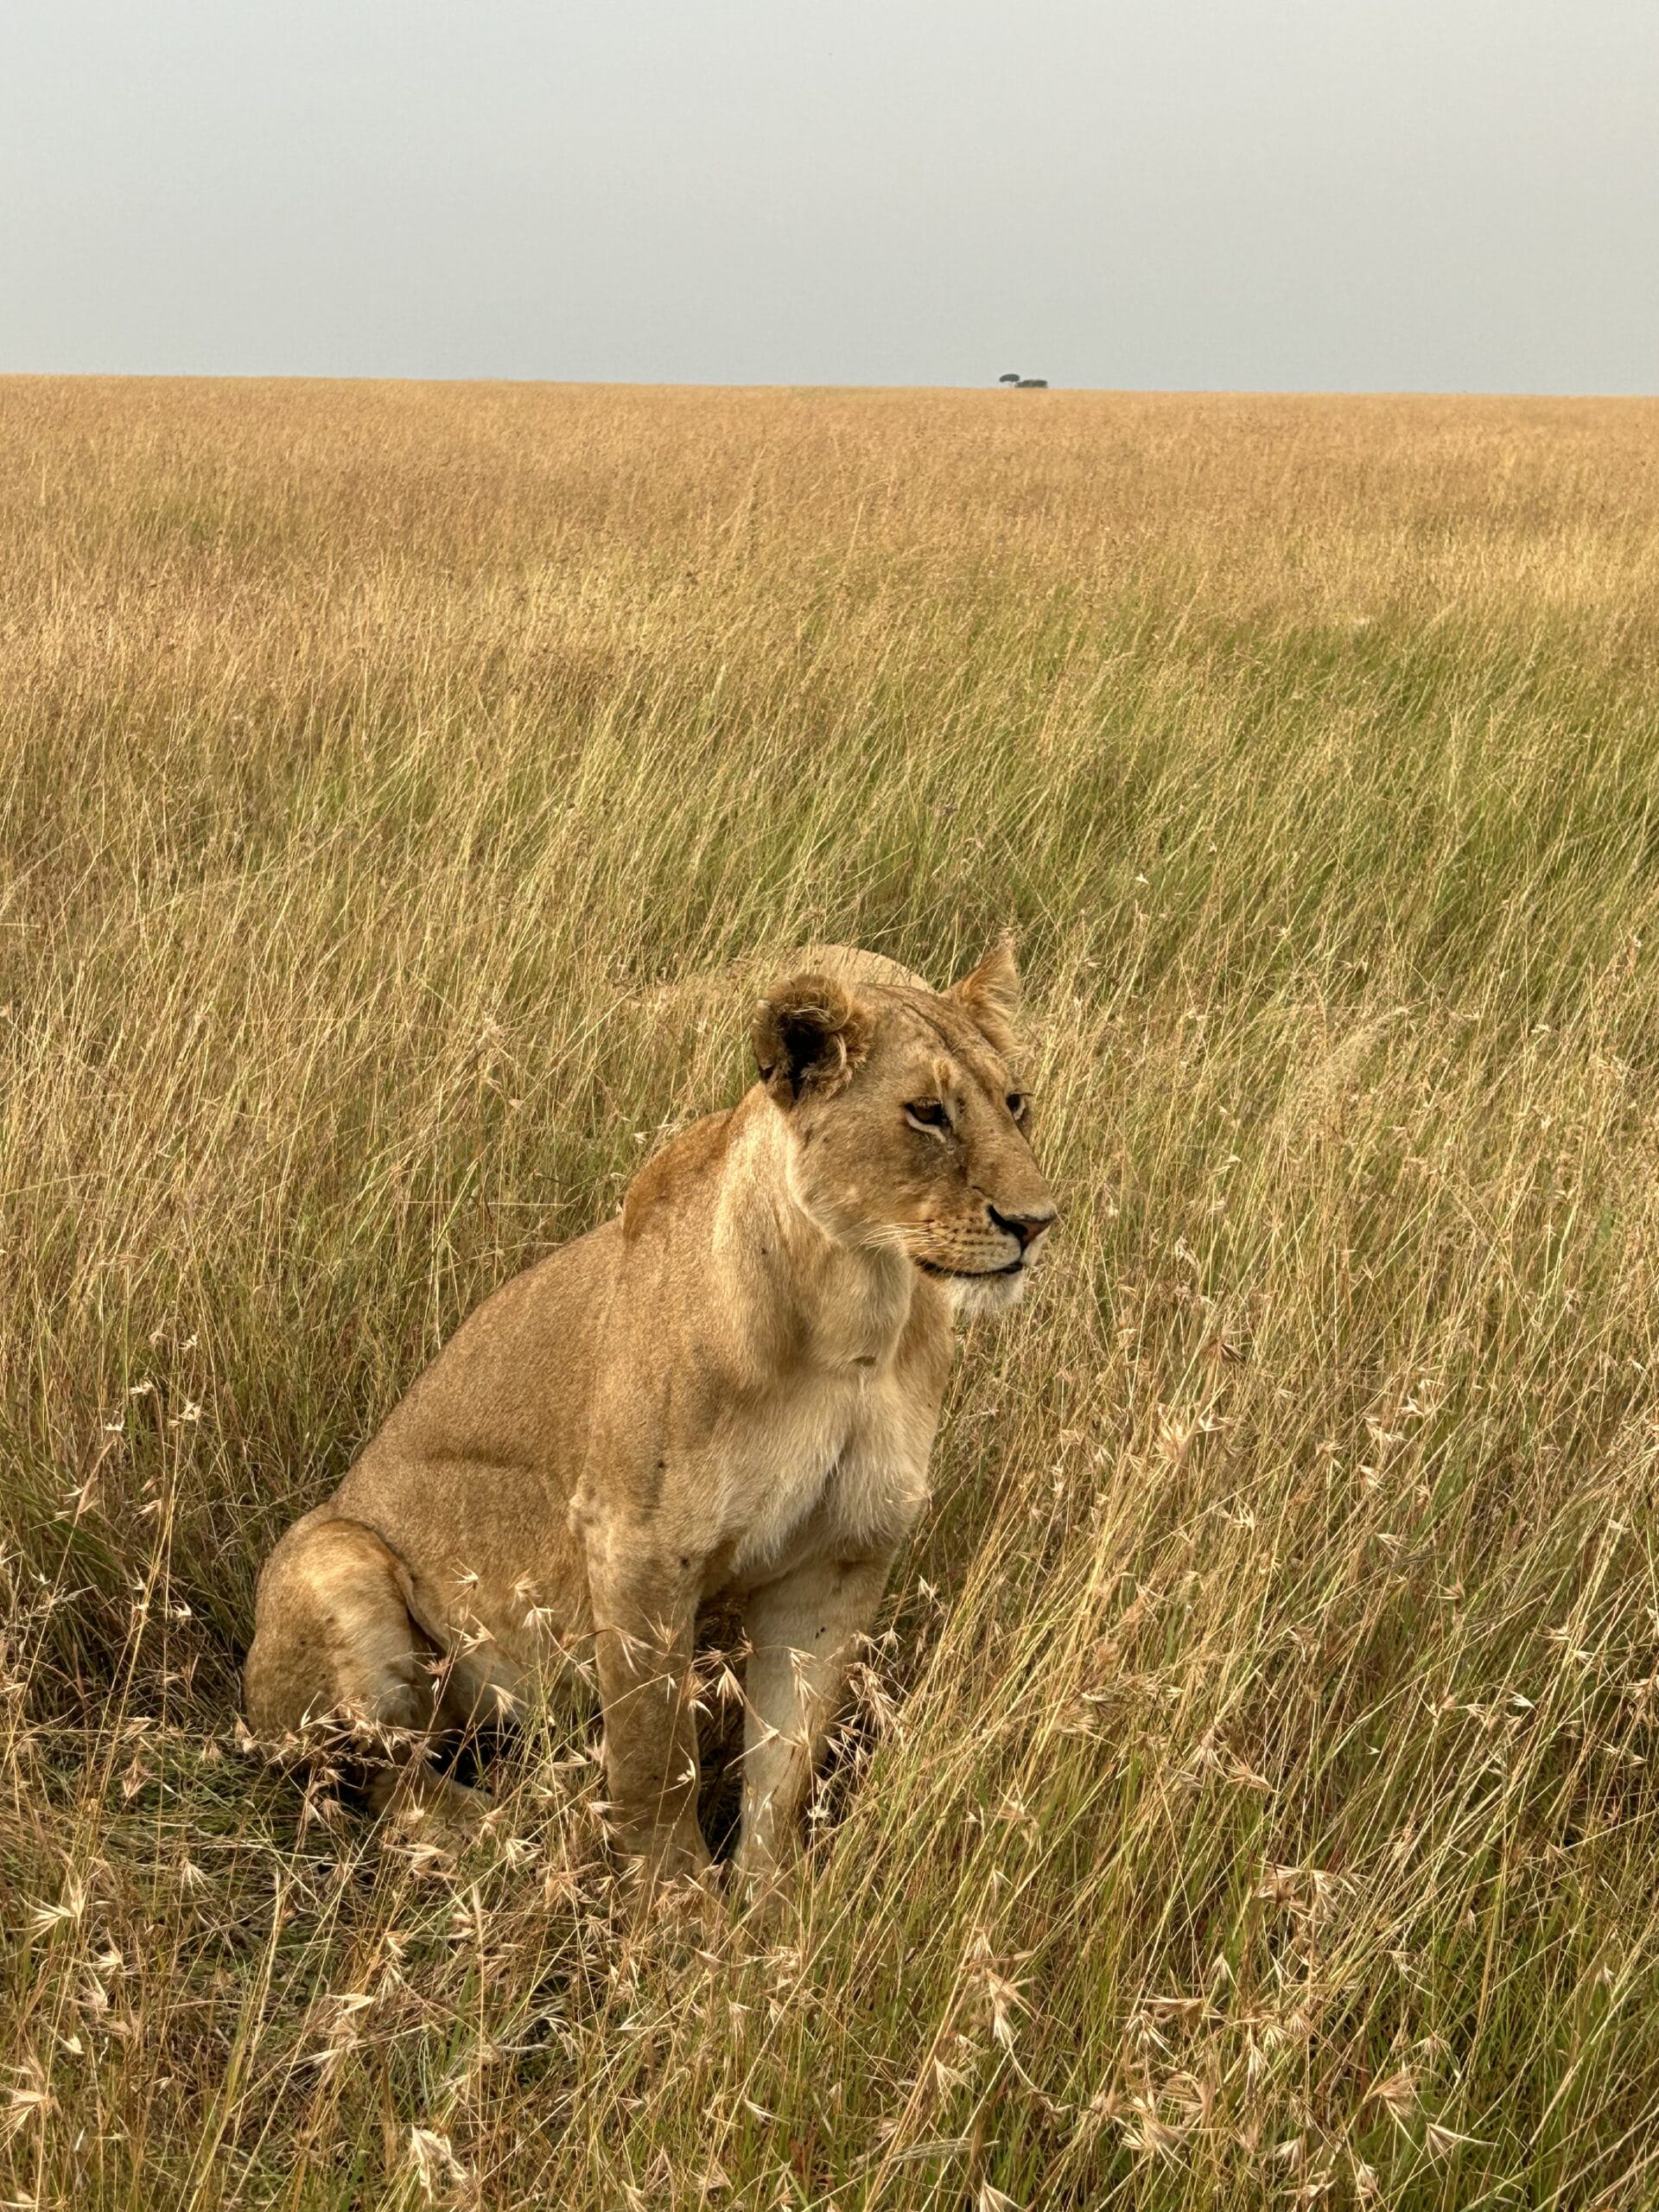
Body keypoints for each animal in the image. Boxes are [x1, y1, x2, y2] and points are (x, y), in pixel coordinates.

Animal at [243, 940, 1056, 1892]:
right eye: (927, 1113)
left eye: (1014, 1102)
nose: (1036, 1223)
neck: (859, 1313)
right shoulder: (637, 1544)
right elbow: (654, 1764)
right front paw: (672, 1914)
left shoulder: (840, 1555)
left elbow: (785, 1766)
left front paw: (767, 1911)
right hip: (333, 1560)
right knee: (380, 1785)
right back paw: (523, 1836)